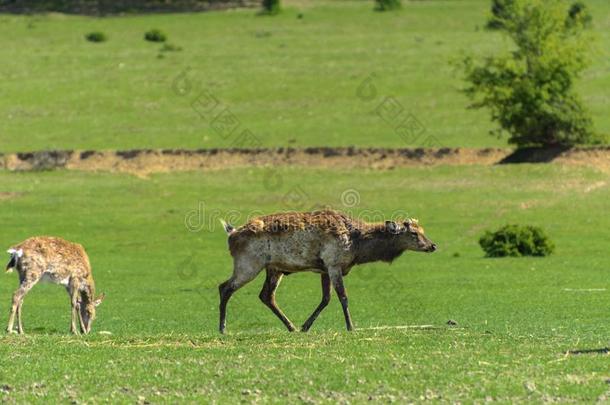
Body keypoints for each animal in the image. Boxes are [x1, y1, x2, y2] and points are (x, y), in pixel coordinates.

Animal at [216, 208, 434, 332]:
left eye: (422, 230)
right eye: (413, 233)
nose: (433, 245)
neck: (357, 247)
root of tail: (231, 234)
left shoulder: (324, 269)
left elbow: (326, 298)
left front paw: (305, 326)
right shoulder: (333, 263)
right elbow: (343, 297)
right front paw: (351, 326)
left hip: (273, 268)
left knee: (266, 296)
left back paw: (291, 326)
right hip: (249, 264)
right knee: (225, 287)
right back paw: (222, 328)